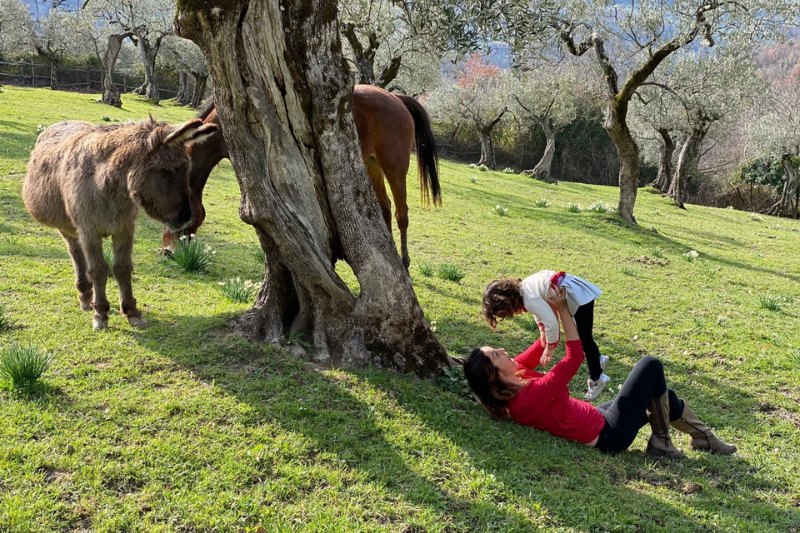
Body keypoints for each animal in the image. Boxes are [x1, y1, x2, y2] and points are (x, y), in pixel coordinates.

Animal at [25, 117, 219, 328]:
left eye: (186, 170)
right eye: (166, 172)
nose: (186, 218)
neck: (109, 186)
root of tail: (64, 122)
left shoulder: (124, 228)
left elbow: (122, 268)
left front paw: (131, 312)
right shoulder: (89, 230)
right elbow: (99, 270)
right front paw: (100, 314)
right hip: (67, 227)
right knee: (76, 254)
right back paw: (85, 295)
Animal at [161, 85, 438, 268]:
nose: (166, 250)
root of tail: (396, 98)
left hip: (394, 168)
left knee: (402, 214)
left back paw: (404, 262)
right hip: (371, 166)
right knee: (385, 208)